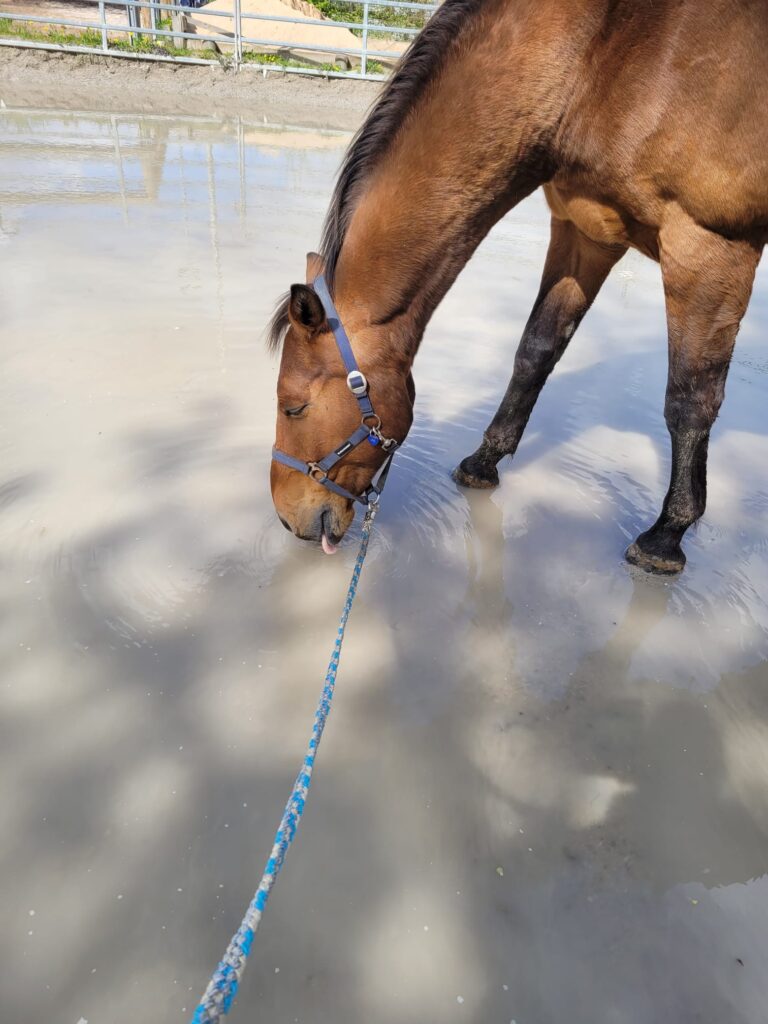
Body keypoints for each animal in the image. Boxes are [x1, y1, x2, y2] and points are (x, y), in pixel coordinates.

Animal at [268, 0, 767, 573]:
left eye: (294, 407)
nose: (287, 516)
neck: (604, 57)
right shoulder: (586, 230)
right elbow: (536, 350)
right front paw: (483, 461)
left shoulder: (710, 247)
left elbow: (690, 400)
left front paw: (666, 535)